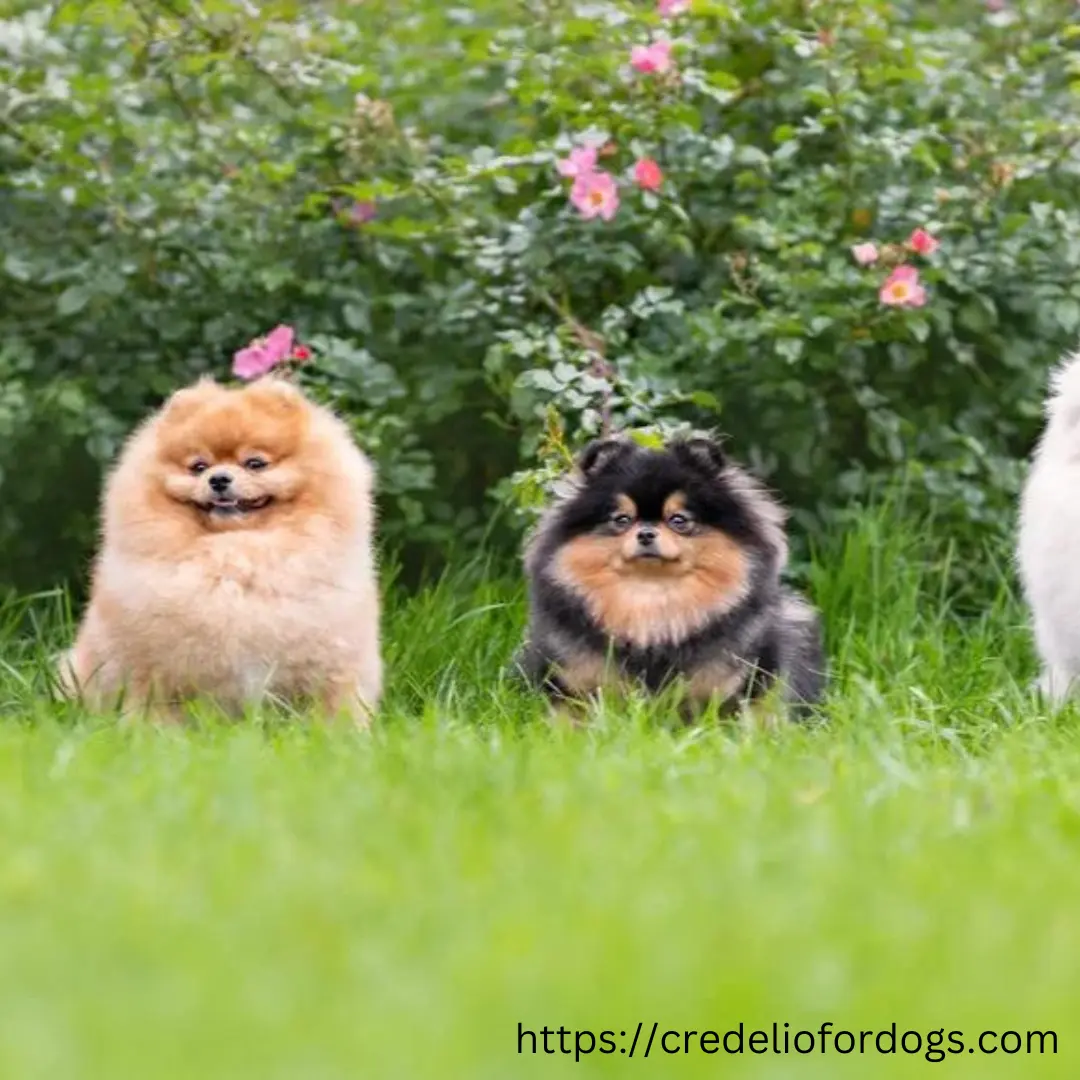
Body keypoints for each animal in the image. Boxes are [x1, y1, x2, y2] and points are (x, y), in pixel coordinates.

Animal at [62, 375, 384, 721]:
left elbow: (335, 709)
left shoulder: (335, 664)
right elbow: (154, 712)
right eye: (198, 467)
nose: (218, 479)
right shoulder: (151, 671)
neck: (233, 556)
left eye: (255, 463)